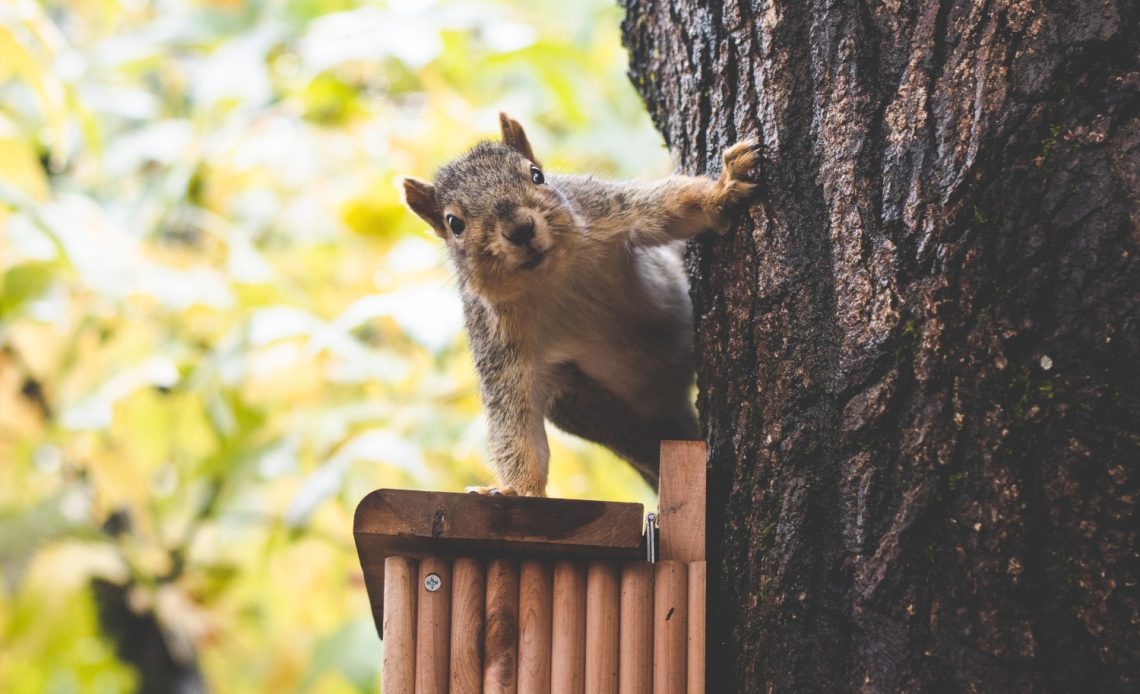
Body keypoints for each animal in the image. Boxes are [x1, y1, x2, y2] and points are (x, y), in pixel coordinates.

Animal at [405, 112, 761, 492]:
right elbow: (515, 424)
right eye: (454, 223)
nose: (520, 229)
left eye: (537, 175)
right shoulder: (499, 349)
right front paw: (515, 489)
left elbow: (672, 206)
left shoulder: (606, 210)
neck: (551, 278)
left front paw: (725, 186)